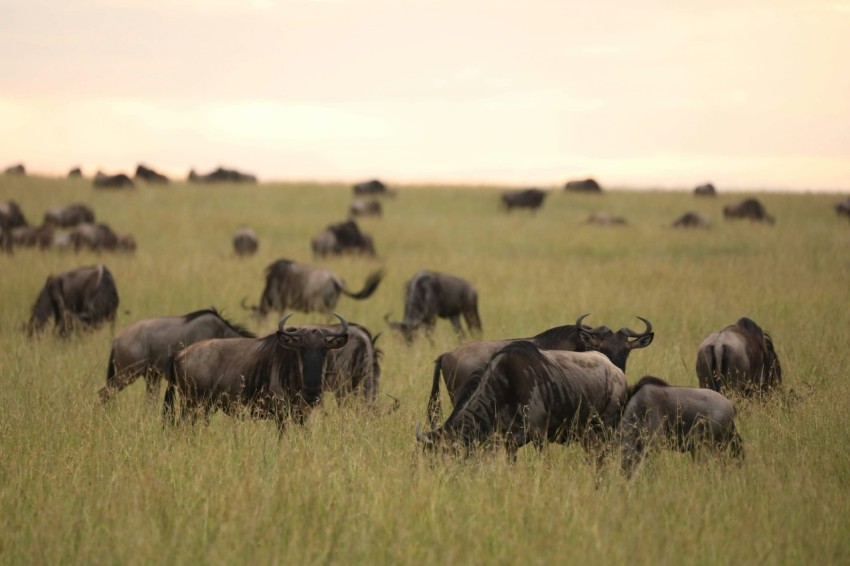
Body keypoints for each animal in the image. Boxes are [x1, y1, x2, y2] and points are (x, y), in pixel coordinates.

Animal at [163, 313, 349, 429]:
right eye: (301, 348)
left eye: (324, 349)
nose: (312, 392)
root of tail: (179, 354)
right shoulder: (281, 413)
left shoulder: (301, 414)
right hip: (192, 405)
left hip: (205, 407)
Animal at [416, 340, 628, 459]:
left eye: (443, 456)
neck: (504, 387)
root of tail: (618, 372)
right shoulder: (509, 443)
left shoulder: (539, 435)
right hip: (588, 434)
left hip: (606, 428)